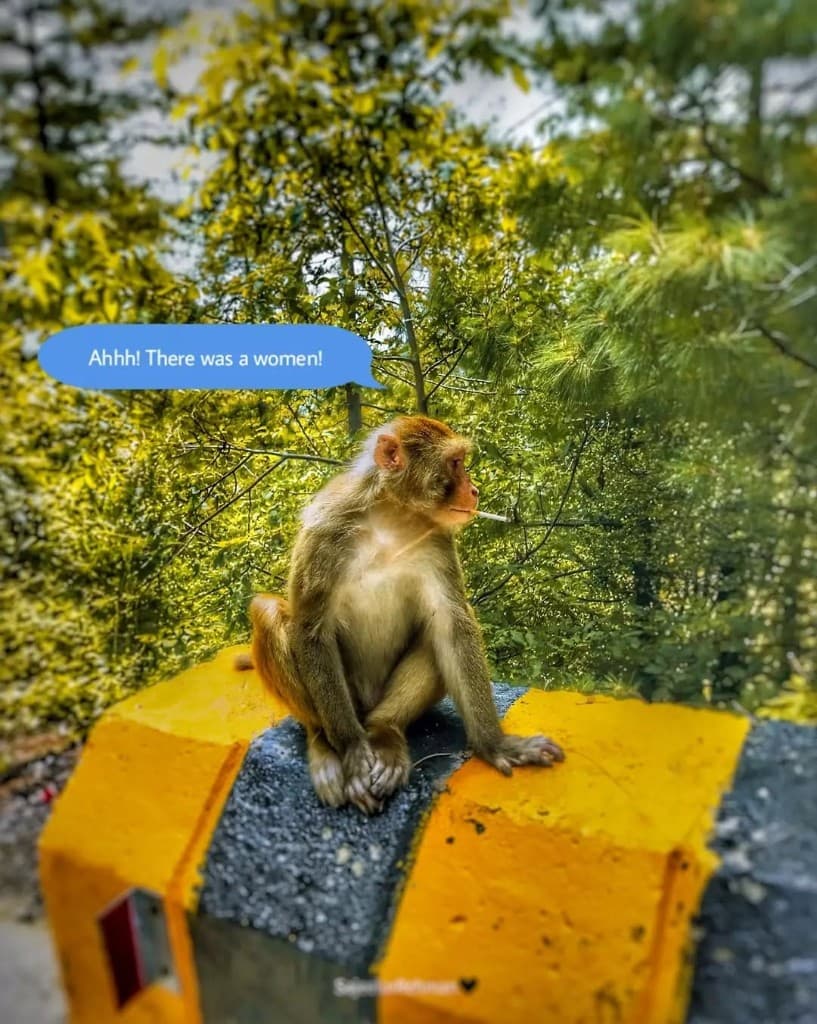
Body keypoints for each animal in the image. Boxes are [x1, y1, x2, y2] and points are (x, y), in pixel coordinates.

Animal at [241, 415, 564, 813]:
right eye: (455, 463)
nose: (474, 490)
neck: (390, 515)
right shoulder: (325, 529)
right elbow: (311, 628)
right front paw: (352, 751)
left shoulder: (437, 539)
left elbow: (452, 625)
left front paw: (496, 744)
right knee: (268, 612)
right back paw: (324, 745)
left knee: (434, 635)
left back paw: (385, 730)